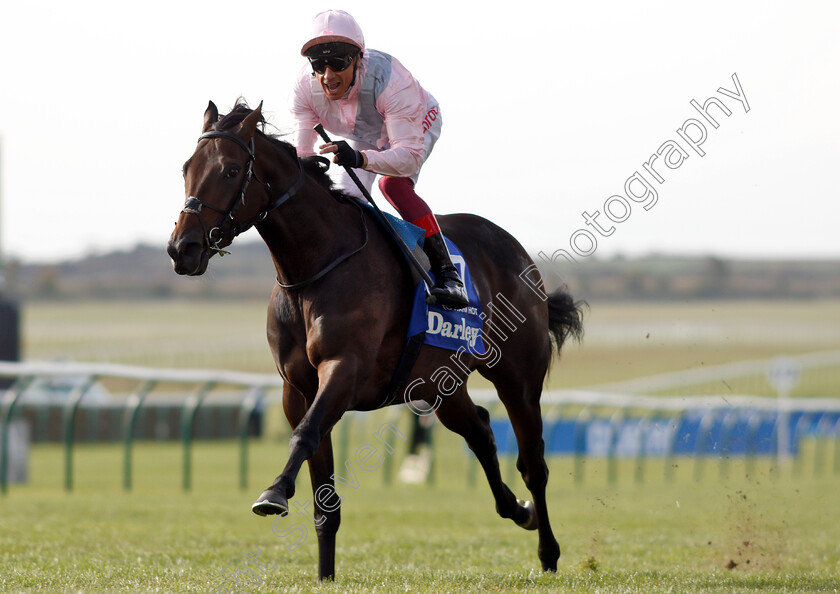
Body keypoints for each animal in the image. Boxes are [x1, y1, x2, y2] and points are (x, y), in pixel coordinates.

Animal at [167, 100, 580, 580]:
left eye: (231, 171)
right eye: (187, 168)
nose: (182, 248)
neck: (317, 265)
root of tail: (515, 249)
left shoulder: (344, 368)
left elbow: (305, 435)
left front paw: (274, 493)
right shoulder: (297, 387)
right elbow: (322, 492)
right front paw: (325, 575)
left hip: (518, 378)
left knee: (533, 463)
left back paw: (548, 552)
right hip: (437, 382)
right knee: (479, 430)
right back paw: (519, 509)